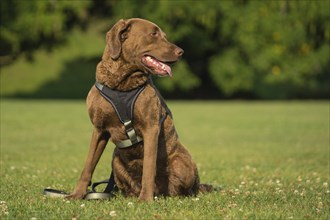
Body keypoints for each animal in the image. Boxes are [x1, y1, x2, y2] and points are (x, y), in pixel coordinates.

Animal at [69, 18, 211, 201]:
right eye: (154, 34)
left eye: (164, 35)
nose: (181, 51)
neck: (121, 85)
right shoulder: (99, 129)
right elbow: (88, 165)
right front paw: (76, 194)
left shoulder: (150, 127)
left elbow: (149, 168)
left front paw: (145, 199)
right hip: (116, 160)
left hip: (181, 162)